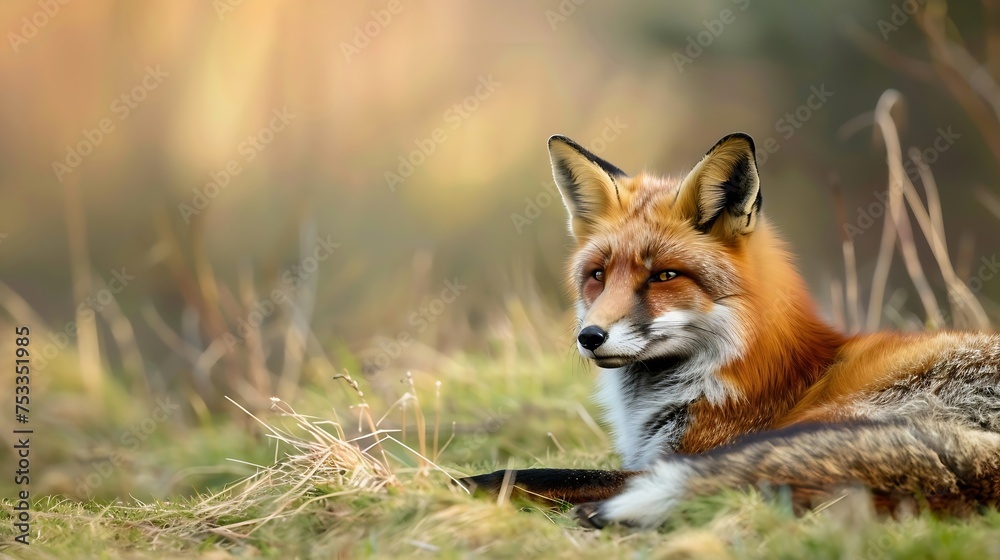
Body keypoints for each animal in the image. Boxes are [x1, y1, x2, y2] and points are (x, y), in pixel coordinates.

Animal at [459, 132, 1000, 529]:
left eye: (664, 276)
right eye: (597, 275)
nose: (590, 337)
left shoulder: (684, 455)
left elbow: (545, 473)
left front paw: (458, 486)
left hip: (835, 419)